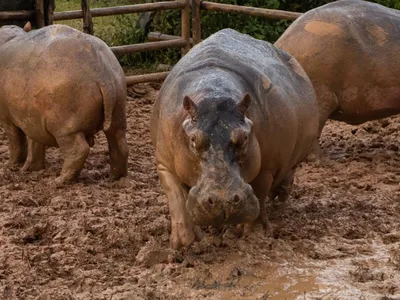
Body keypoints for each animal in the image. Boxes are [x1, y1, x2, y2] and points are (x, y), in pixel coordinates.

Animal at [0, 24, 128, 183]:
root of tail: (103, 74)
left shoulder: (7, 118)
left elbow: (16, 141)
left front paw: (9, 165)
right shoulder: (31, 118)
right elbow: (34, 143)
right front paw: (31, 168)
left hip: (65, 127)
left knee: (79, 150)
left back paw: (58, 181)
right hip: (118, 107)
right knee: (119, 143)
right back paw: (113, 178)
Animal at [150, 28, 318, 250]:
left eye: (245, 136)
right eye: (193, 139)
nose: (224, 201)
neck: (214, 93)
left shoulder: (266, 167)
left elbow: (259, 194)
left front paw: (254, 235)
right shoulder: (164, 163)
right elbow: (177, 199)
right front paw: (184, 243)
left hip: (293, 156)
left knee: (287, 173)